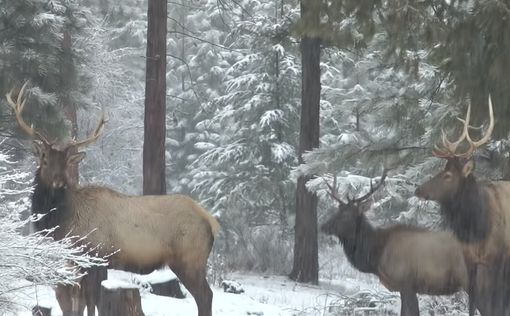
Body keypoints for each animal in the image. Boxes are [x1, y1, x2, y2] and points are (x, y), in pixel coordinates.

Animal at [4, 82, 219, 316]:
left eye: (67, 163)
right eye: (44, 160)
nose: (59, 182)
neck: (65, 219)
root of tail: (211, 221)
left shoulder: (94, 256)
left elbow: (91, 300)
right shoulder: (80, 259)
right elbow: (82, 301)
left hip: (190, 259)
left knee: (205, 295)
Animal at [414, 97, 510, 316]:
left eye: (448, 175)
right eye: (442, 170)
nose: (418, 189)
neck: (476, 227)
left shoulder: (499, 259)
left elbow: (497, 304)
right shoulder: (469, 259)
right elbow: (472, 304)